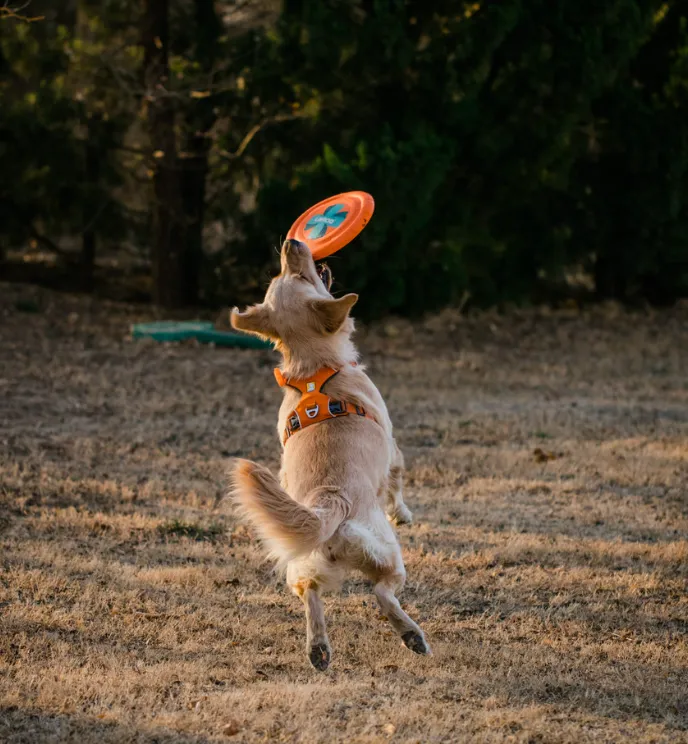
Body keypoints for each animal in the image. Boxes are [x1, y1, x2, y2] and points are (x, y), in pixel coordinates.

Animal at [228, 241, 428, 672]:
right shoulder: (392, 446)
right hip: (390, 556)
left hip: (300, 563)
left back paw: (318, 649)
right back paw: (412, 635)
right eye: (304, 275)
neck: (312, 370)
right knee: (382, 593)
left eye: (286, 274)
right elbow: (397, 480)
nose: (291, 243)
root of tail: (330, 503)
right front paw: (403, 512)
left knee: (311, 595)